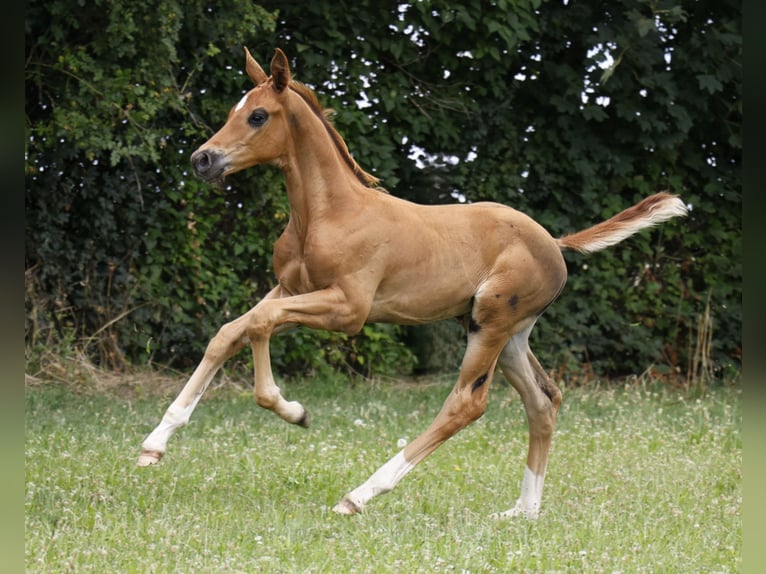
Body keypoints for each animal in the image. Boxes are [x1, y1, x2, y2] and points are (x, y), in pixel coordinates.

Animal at [140, 47, 688, 520]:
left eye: (257, 116)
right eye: (234, 110)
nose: (202, 160)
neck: (326, 213)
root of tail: (554, 242)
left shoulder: (348, 310)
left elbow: (260, 324)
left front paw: (292, 410)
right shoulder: (292, 290)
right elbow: (232, 330)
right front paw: (154, 445)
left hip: (491, 323)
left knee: (467, 404)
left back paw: (359, 495)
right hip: (507, 332)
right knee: (544, 400)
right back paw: (523, 512)